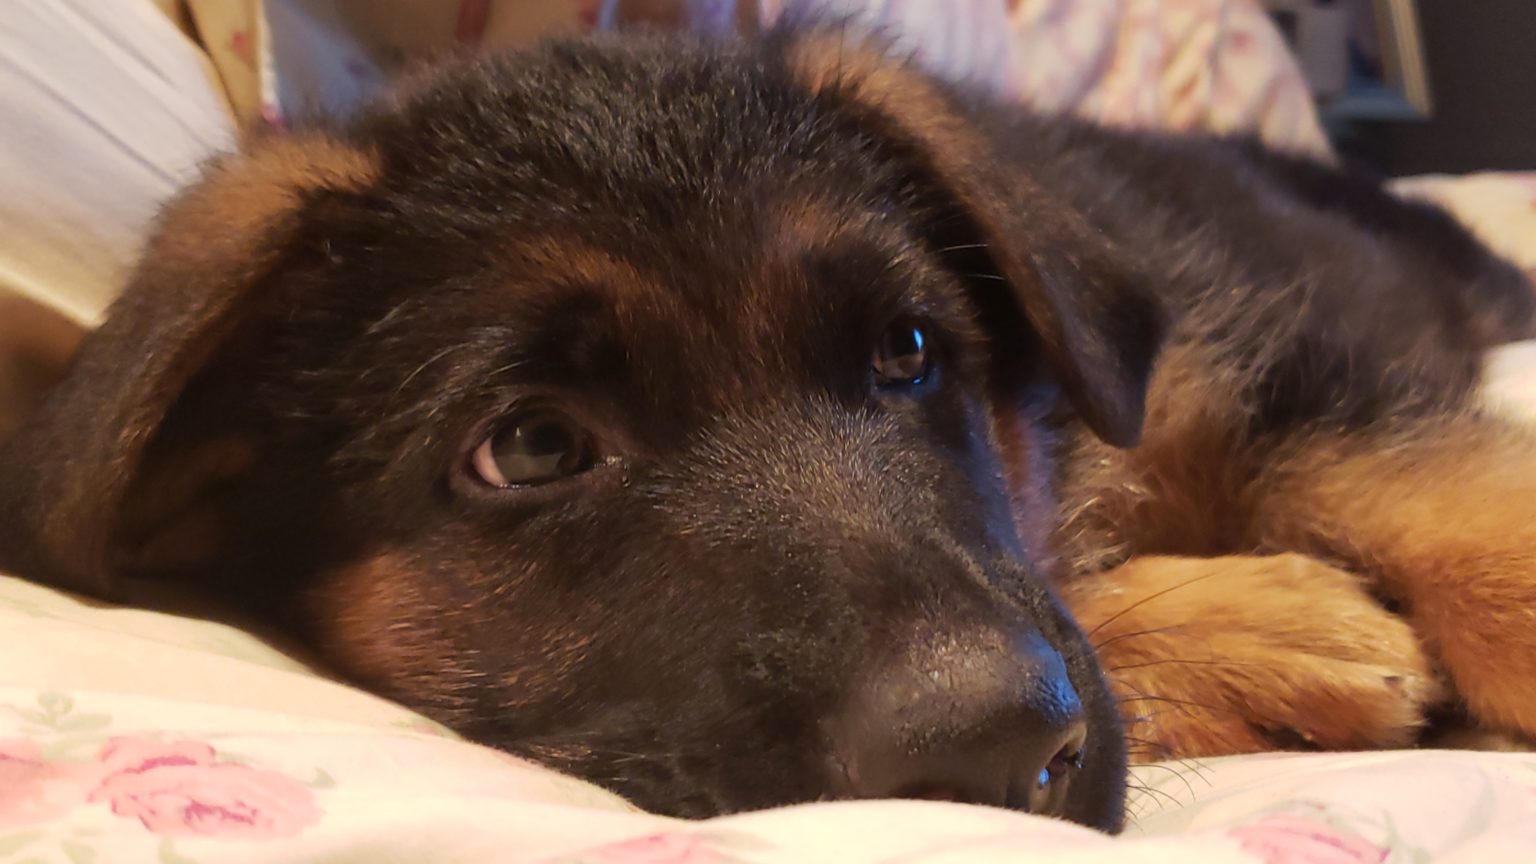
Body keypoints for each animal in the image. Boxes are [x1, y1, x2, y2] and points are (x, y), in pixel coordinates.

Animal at [3, 29, 1535, 832]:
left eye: (909, 353)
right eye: (533, 448)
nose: (996, 747)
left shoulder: (1279, 349)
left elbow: (1416, 489)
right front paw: (1265, 630)